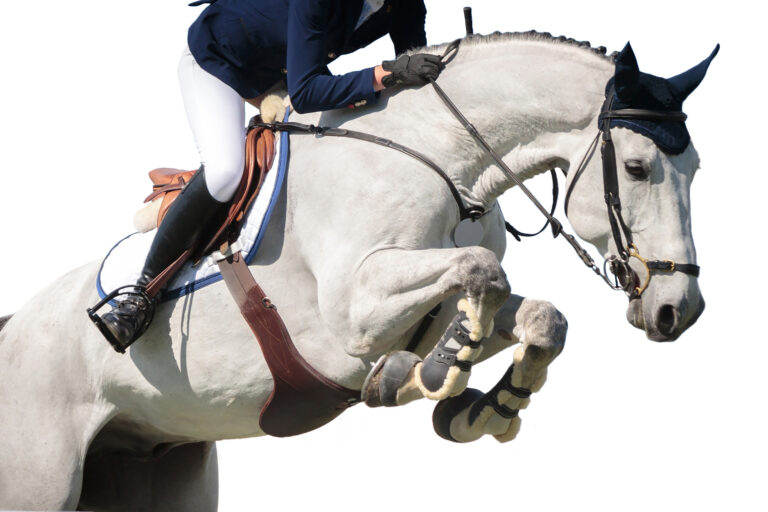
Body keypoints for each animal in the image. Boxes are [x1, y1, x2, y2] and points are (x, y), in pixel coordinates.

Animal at [0, 32, 714, 511]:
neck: (441, 156)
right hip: (42, 478)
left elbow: (538, 315)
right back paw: (125, 314)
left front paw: (482, 406)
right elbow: (482, 270)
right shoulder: (353, 311)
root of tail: (12, 328)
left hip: (160, 462)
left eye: (697, 169)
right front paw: (433, 373)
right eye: (637, 169)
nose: (679, 309)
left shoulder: (428, 296)